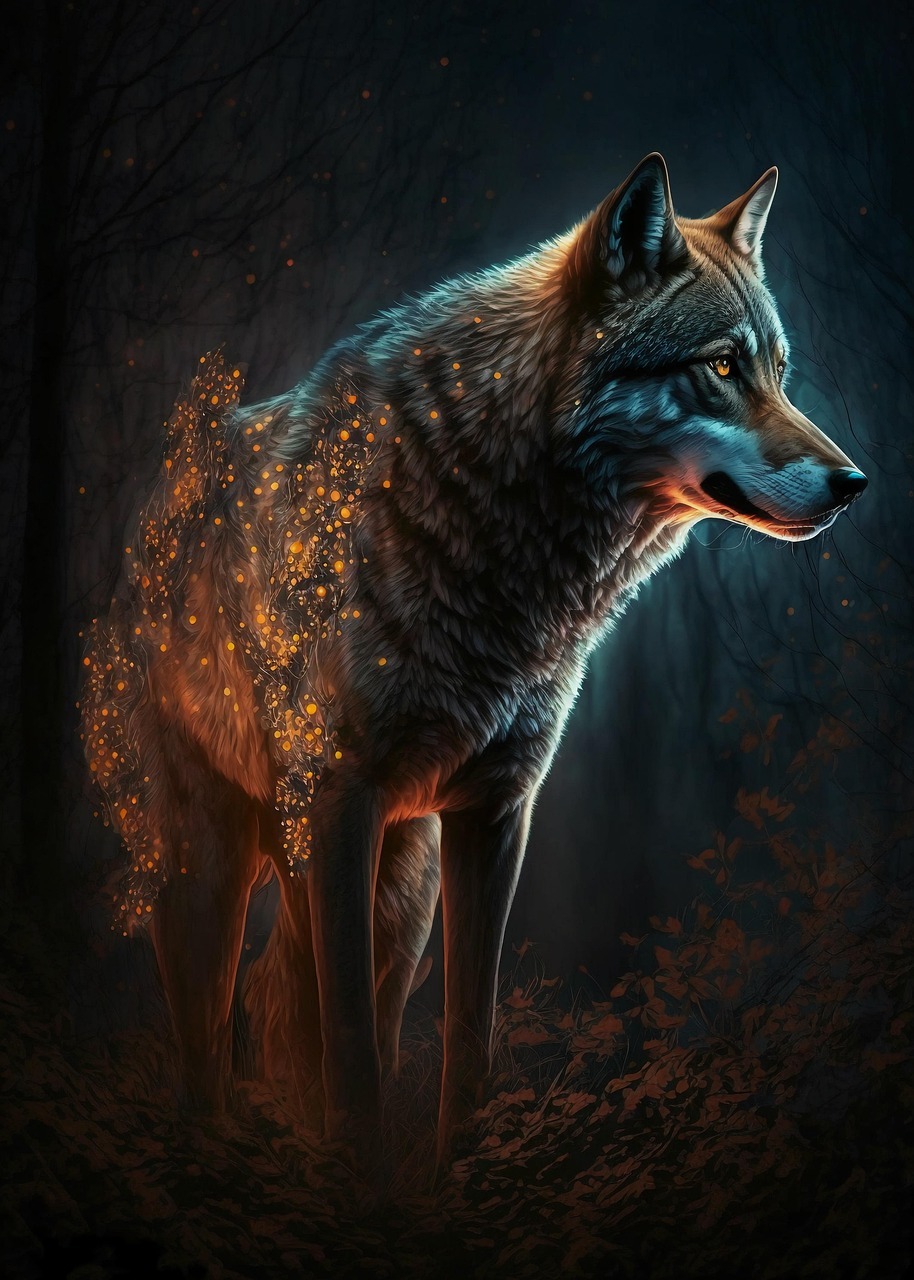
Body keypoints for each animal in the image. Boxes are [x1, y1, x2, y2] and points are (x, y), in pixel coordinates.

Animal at [82, 153, 866, 1167]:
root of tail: (160, 499)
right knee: (211, 1038)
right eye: (722, 366)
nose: (854, 484)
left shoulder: (496, 813)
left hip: (401, 894)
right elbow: (345, 1044)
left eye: (778, 372)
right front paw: (363, 1177)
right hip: (209, 873)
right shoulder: (339, 809)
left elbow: (468, 1032)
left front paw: (458, 1170)